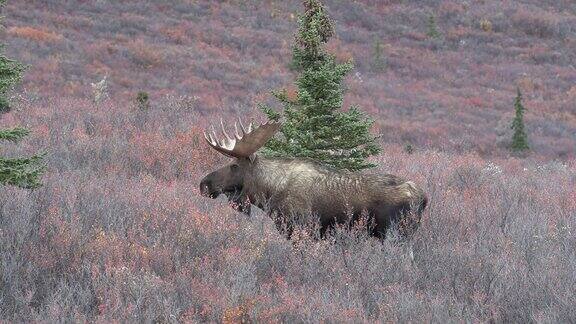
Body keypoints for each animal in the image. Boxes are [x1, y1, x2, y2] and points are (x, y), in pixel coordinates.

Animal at [200, 119, 426, 238]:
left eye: (234, 165)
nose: (204, 184)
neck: (270, 193)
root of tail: (424, 198)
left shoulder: (302, 228)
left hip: (398, 232)